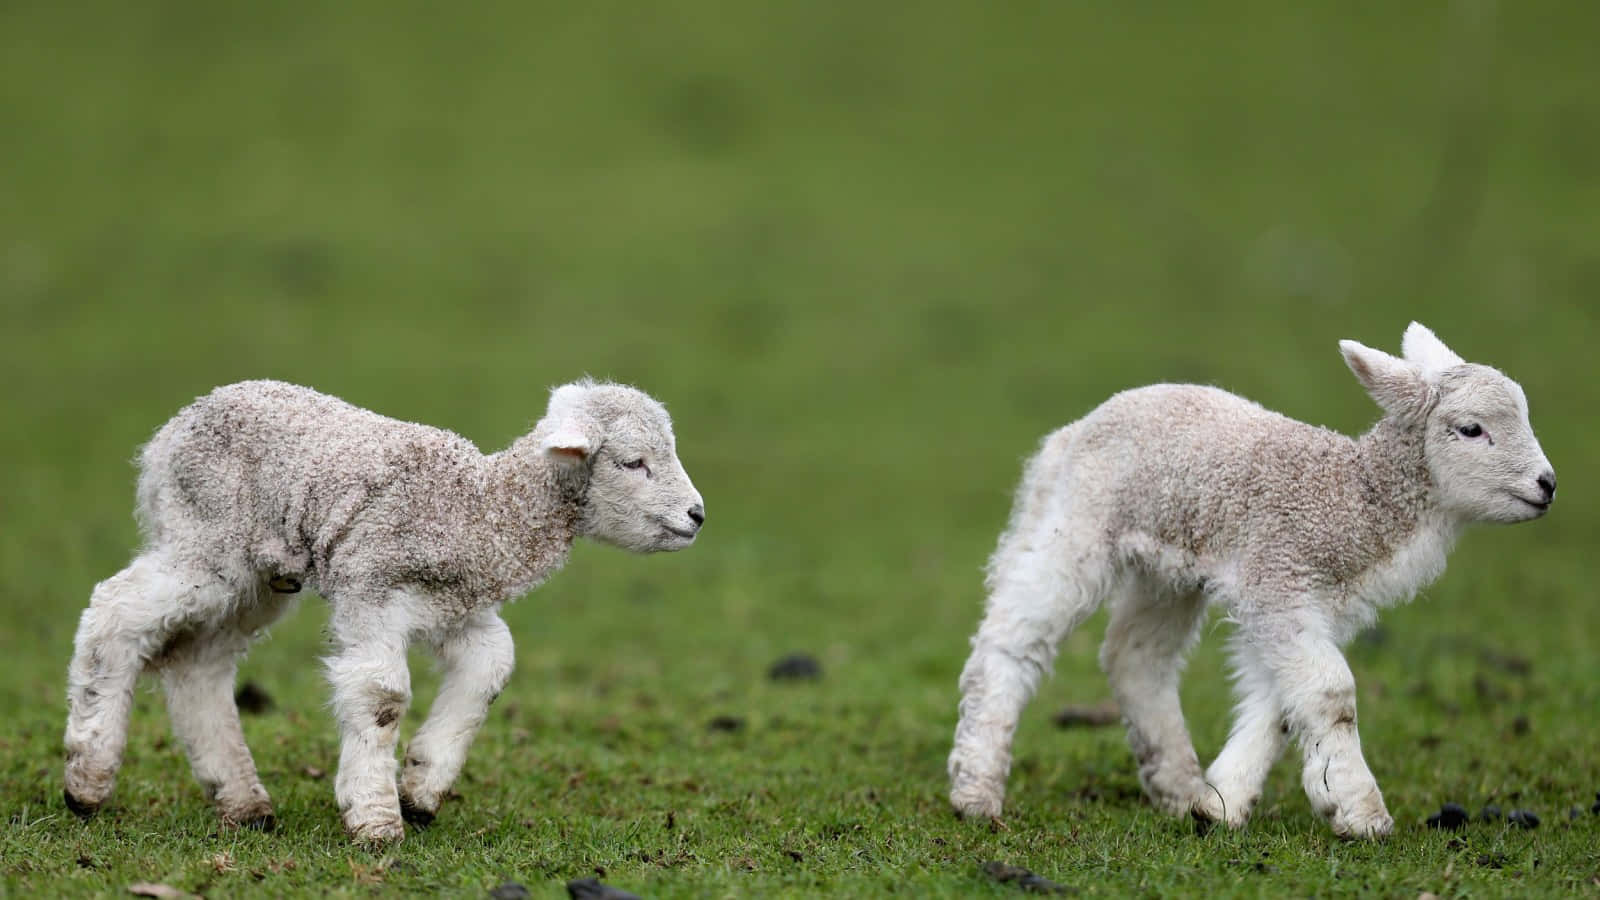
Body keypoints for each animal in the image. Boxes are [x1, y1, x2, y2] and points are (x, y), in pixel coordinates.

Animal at [67, 376, 707, 839]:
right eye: (633, 462)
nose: (698, 515)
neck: (481, 508)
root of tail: (168, 434)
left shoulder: (452, 608)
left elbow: (492, 667)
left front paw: (421, 789)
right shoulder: (369, 588)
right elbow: (383, 697)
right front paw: (376, 820)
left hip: (255, 580)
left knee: (199, 664)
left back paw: (243, 803)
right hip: (206, 543)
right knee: (113, 611)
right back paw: (87, 780)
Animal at [947, 320, 1548, 832]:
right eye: (1471, 429)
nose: (1548, 484)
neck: (1352, 498)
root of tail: (1073, 431)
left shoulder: (1311, 604)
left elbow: (1282, 704)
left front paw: (1219, 804)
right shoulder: (1278, 579)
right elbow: (1332, 692)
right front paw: (1362, 813)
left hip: (1166, 568)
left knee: (1134, 655)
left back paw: (1177, 787)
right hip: (1076, 526)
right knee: (1012, 639)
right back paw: (976, 790)